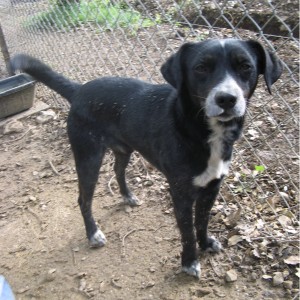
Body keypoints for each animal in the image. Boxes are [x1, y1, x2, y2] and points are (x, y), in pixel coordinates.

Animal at [10, 38, 282, 278]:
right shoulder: (180, 193)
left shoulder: (212, 187)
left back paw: (127, 196)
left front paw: (205, 244)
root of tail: (79, 89)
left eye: (245, 66)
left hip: (124, 149)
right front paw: (189, 261)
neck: (201, 129)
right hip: (88, 158)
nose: (226, 98)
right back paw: (93, 234)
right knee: (83, 199)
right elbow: (187, 231)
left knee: (118, 171)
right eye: (201, 68)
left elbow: (202, 222)